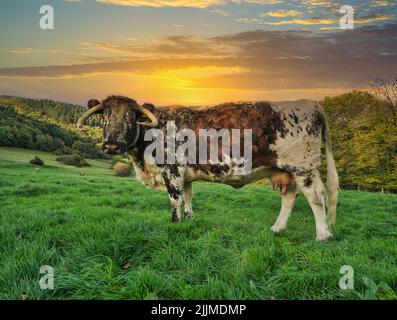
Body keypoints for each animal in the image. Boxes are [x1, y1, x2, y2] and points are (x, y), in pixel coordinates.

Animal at [76, 96, 338, 241]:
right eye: (105, 115)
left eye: (131, 116)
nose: (111, 144)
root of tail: (310, 103)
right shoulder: (185, 174)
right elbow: (188, 196)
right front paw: (190, 219)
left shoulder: (172, 170)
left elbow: (174, 199)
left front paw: (175, 223)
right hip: (286, 171)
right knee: (290, 197)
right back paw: (277, 228)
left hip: (303, 167)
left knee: (316, 196)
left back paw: (323, 235)